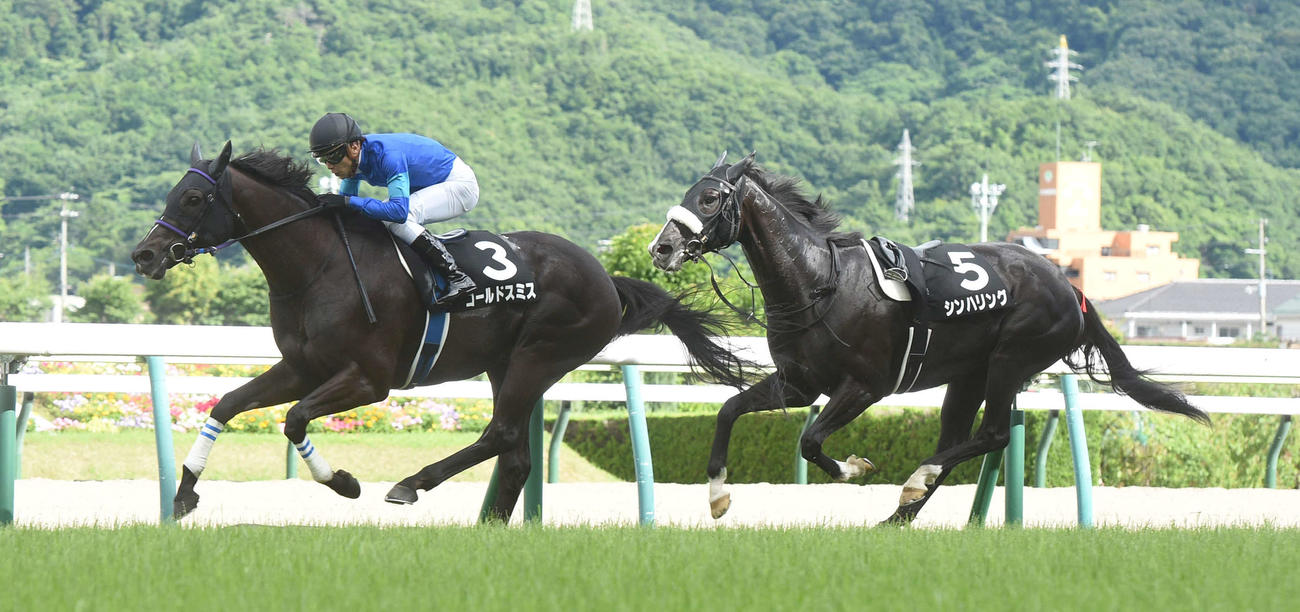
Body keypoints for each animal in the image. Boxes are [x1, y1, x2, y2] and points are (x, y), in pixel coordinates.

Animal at [130, 141, 751, 521]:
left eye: (193, 197)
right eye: (172, 193)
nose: (144, 254)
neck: (317, 267)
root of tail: (605, 277)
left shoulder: (370, 380)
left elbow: (294, 419)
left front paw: (344, 482)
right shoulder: (302, 366)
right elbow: (228, 404)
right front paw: (184, 494)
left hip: (540, 355)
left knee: (501, 435)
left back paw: (411, 484)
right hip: (509, 364)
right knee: (515, 455)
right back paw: (487, 527)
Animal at [648, 152, 1209, 525]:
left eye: (710, 196)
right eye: (688, 192)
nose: (662, 247)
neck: (819, 282)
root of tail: (1071, 288)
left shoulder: (864, 387)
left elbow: (810, 442)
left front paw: (853, 467)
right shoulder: (799, 384)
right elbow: (727, 412)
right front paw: (717, 496)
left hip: (1011, 360)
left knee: (993, 435)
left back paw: (912, 486)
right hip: (967, 378)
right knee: (956, 439)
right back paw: (899, 515)